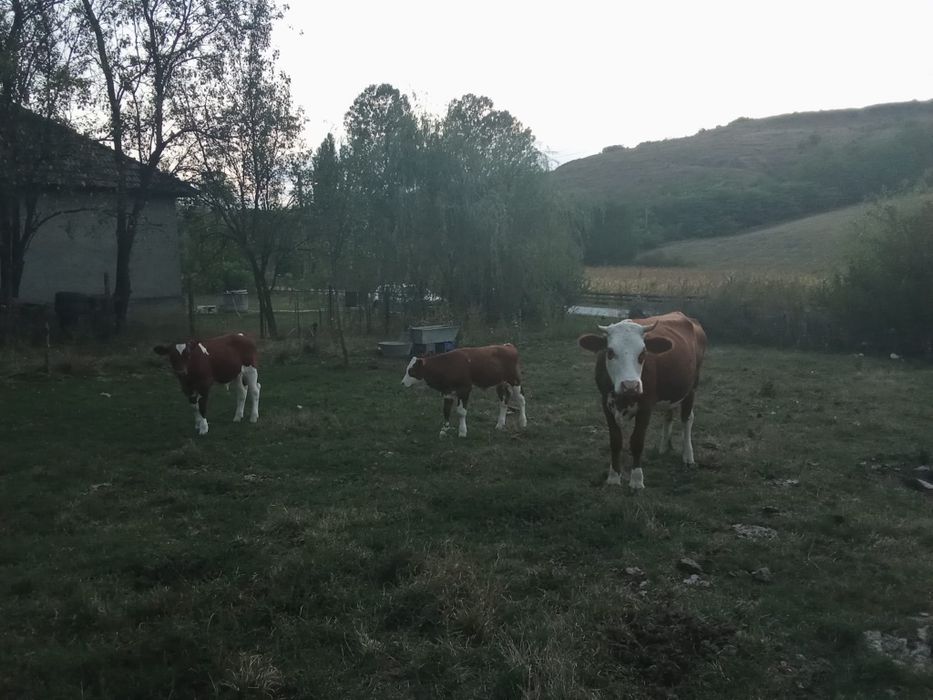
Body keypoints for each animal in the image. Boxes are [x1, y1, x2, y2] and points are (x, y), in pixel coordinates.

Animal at [578, 312, 706, 490]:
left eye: (643, 353)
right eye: (610, 352)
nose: (630, 385)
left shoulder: (646, 407)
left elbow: (637, 442)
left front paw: (637, 480)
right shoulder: (606, 404)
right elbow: (615, 441)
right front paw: (613, 477)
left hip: (692, 387)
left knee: (687, 419)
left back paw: (688, 456)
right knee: (669, 415)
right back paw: (663, 448)